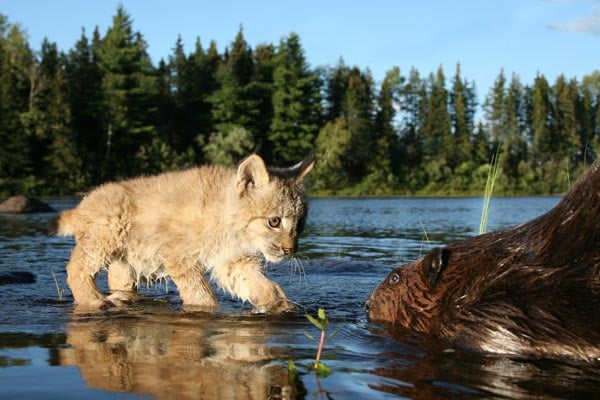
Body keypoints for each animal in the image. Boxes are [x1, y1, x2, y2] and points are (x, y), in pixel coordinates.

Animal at [57, 153, 314, 312]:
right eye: (274, 221)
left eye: (300, 223)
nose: (290, 250)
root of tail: (84, 201)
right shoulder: (178, 254)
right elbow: (200, 293)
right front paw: (207, 310)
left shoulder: (233, 261)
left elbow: (260, 284)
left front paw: (278, 303)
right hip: (106, 235)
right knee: (75, 268)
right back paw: (95, 302)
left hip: (125, 261)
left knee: (117, 279)